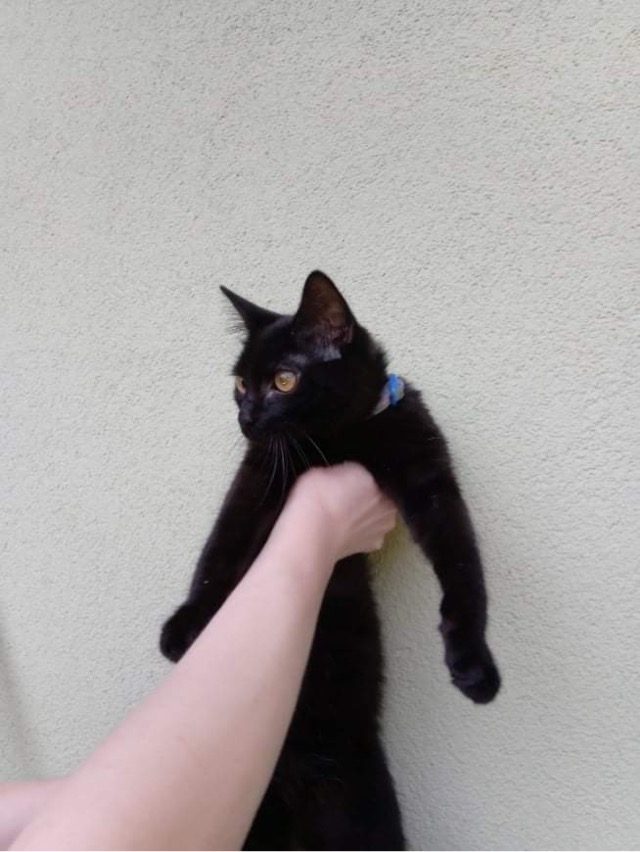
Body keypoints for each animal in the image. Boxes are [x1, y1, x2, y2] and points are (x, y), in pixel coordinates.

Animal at [160, 271, 501, 851]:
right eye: (240, 385)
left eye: (283, 381)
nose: (246, 417)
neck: (336, 440)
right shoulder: (256, 476)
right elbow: (220, 545)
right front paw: (184, 627)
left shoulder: (426, 468)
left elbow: (463, 563)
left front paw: (473, 663)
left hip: (365, 813)